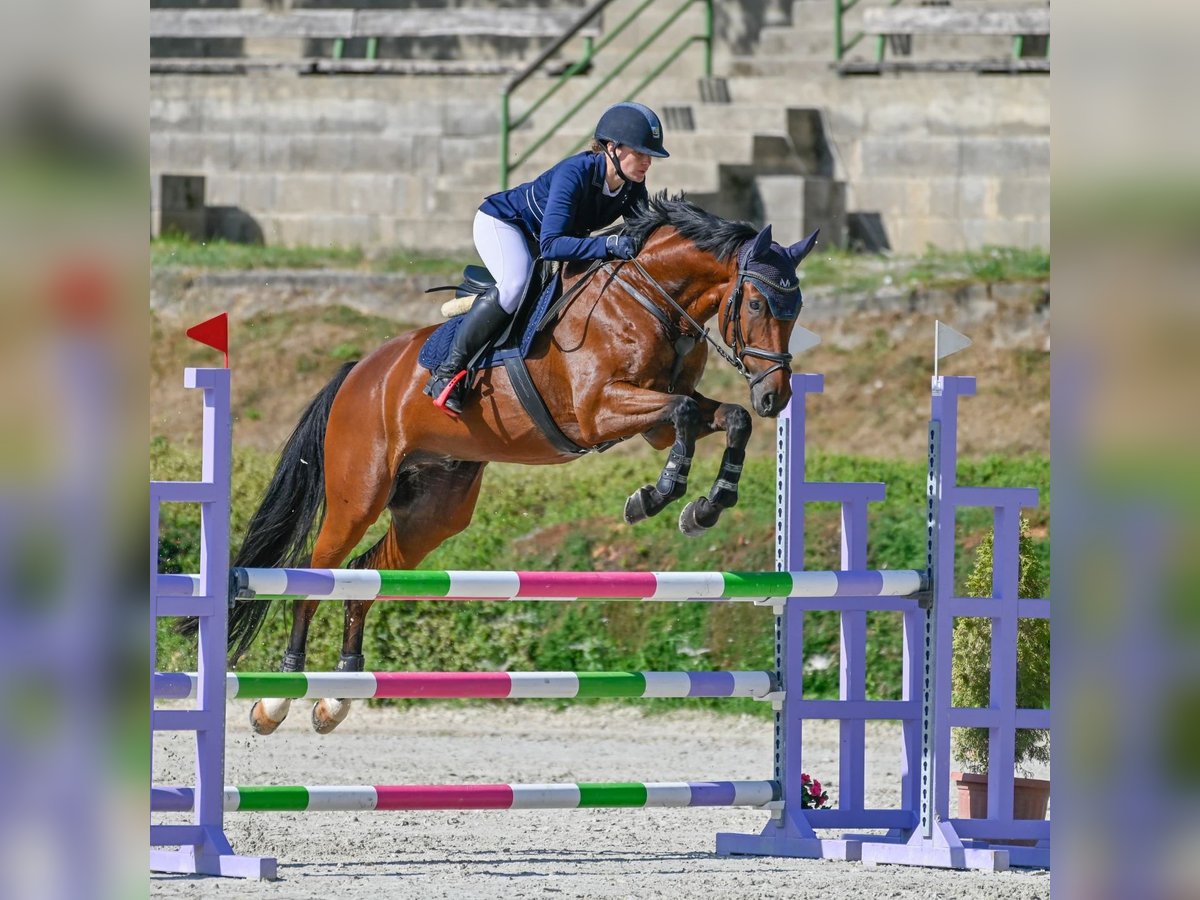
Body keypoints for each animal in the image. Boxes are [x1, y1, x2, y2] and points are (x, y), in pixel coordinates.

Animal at [225, 194, 816, 734]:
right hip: (358, 494)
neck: (648, 298)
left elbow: (727, 418)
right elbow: (688, 413)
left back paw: (336, 696)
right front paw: (655, 496)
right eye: (758, 305)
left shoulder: (656, 426)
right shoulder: (600, 410)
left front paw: (707, 506)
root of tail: (358, 373)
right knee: (314, 576)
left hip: (434, 513)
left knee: (362, 574)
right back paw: (277, 697)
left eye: (796, 311)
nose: (776, 397)